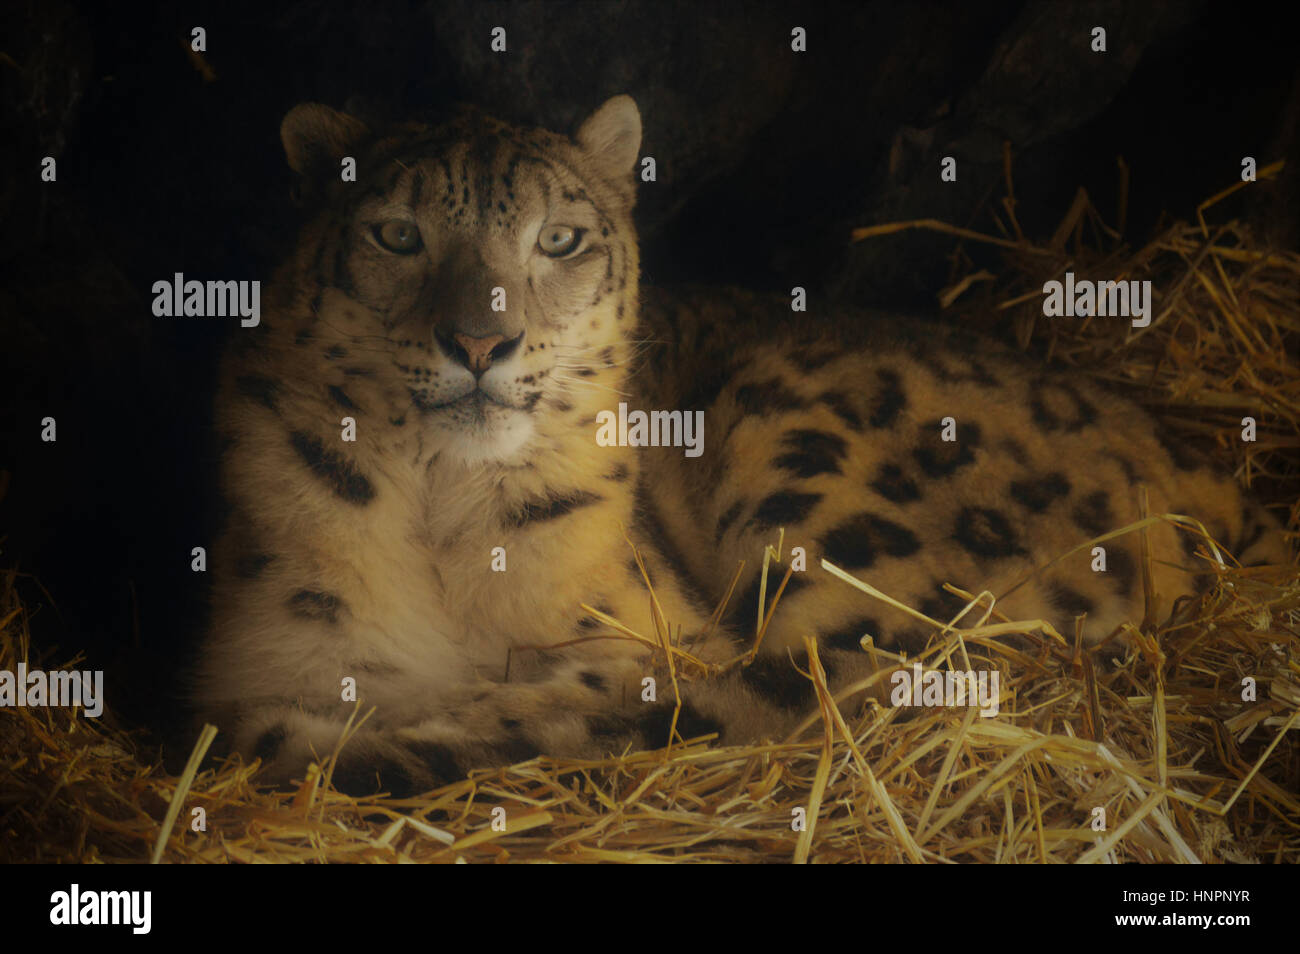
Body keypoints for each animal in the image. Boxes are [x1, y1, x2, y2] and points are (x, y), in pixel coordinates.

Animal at [191, 95, 1291, 796]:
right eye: (396, 236)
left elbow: (638, 681)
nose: (477, 342)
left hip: (813, 469)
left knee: (832, 687)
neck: (445, 515)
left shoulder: (647, 625)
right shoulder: (275, 643)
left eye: (560, 239)